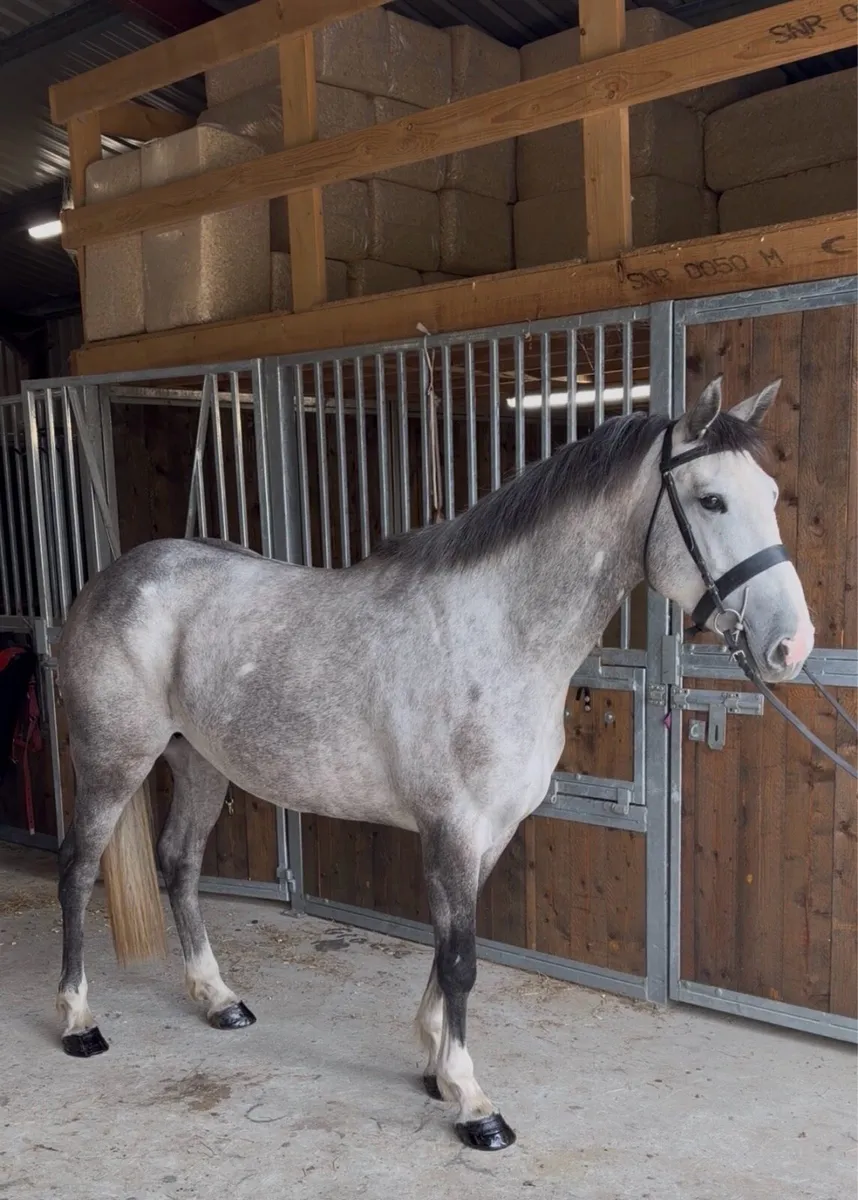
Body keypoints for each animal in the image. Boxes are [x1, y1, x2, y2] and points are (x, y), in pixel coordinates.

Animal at [53, 376, 813, 1151]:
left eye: (770, 494)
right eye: (711, 500)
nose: (793, 645)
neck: (500, 634)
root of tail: (111, 581)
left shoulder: (490, 831)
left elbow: (450, 948)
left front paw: (436, 1064)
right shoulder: (452, 826)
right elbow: (461, 959)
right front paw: (474, 1103)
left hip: (201, 763)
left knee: (179, 864)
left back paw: (217, 999)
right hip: (112, 760)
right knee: (78, 868)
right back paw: (79, 1020)